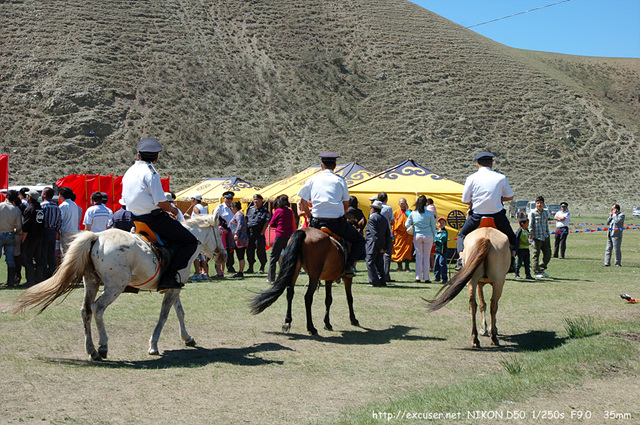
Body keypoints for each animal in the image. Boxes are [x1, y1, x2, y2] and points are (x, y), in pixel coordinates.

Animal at [13, 215, 226, 358]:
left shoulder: (174, 287)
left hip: (91, 282)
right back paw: (102, 346)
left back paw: (91, 350)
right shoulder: (173, 288)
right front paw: (153, 345)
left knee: (85, 310)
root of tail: (96, 237)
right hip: (115, 286)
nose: (223, 255)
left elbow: (179, 312)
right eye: (220, 232)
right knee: (97, 308)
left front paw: (187, 338)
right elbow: (164, 316)